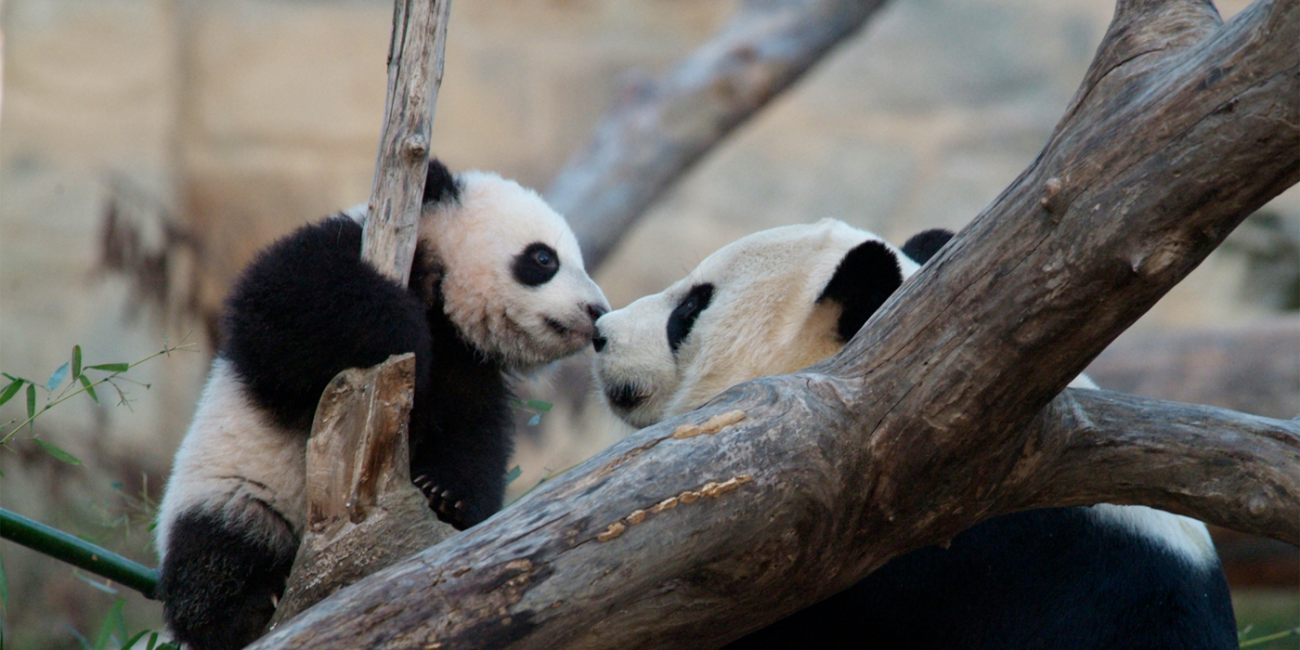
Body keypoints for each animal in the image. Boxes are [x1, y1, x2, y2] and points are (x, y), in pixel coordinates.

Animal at [154, 161, 611, 650]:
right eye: (543, 259)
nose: (597, 311)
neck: (446, 302)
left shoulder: (469, 366)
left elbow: (473, 434)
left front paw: (447, 496)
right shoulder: (337, 247)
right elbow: (290, 305)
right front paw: (401, 328)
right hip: (233, 488)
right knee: (217, 551)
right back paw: (248, 608)